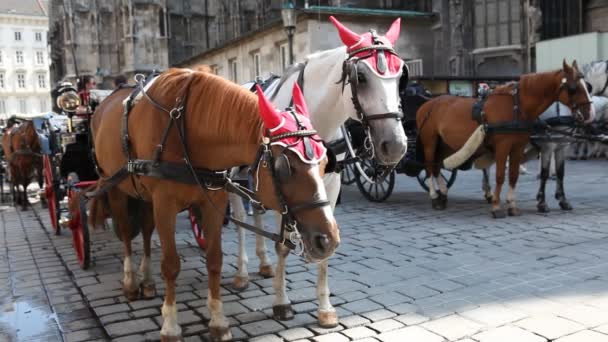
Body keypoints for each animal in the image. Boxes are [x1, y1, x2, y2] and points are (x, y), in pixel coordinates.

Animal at [88, 68, 340, 340]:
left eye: (326, 162)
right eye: (285, 167)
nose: (328, 240)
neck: (184, 128)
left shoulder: (211, 201)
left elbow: (214, 259)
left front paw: (218, 321)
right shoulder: (164, 203)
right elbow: (170, 265)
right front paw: (170, 325)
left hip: (142, 195)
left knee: (145, 231)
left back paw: (147, 280)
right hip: (114, 186)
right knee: (126, 233)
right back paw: (131, 282)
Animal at [228, 16, 408, 328]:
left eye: (400, 78)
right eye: (361, 77)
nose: (395, 145)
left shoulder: (330, 186)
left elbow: (327, 240)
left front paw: (325, 309)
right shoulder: (285, 188)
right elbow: (284, 245)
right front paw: (281, 302)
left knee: (257, 213)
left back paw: (264, 264)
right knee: (239, 221)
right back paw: (242, 272)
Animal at [418, 60, 592, 218]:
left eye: (587, 86)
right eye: (573, 88)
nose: (590, 113)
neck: (517, 107)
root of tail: (428, 104)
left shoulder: (519, 147)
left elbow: (514, 175)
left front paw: (512, 206)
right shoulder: (506, 146)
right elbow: (501, 175)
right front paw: (496, 207)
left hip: (444, 144)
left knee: (437, 166)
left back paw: (443, 194)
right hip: (429, 142)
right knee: (429, 166)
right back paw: (435, 197)